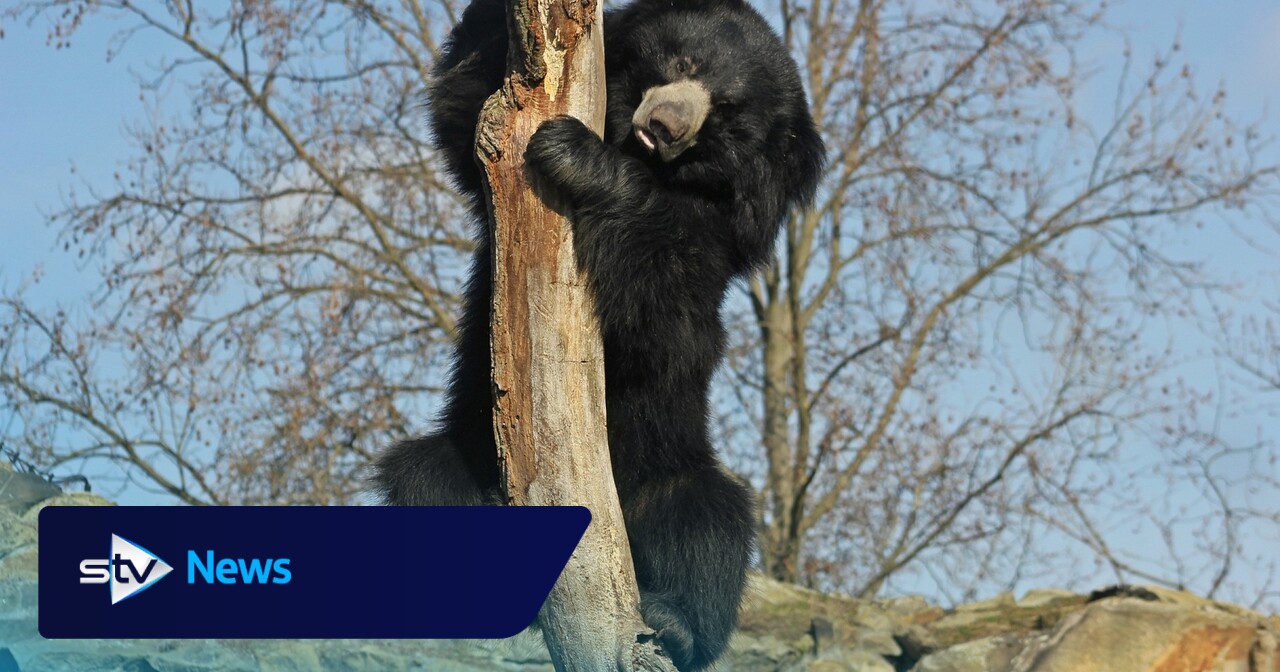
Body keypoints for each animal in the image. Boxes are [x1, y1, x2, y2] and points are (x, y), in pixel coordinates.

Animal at [373, 0, 824, 668]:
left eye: (726, 113)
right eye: (683, 63)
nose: (664, 124)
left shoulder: (722, 235)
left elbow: (667, 319)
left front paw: (576, 155)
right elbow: (466, 104)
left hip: (667, 470)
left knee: (709, 523)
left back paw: (673, 620)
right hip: (470, 455)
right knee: (425, 479)